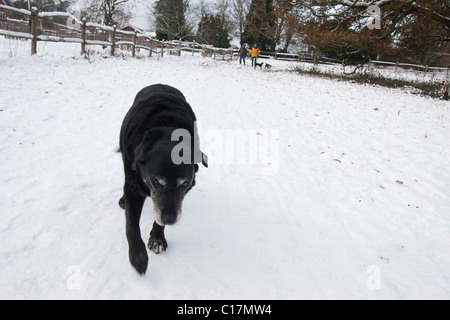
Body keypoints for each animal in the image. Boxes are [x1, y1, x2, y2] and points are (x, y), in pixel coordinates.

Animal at [117, 84, 207, 274]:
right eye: (156, 181)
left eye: (184, 183)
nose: (170, 220)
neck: (167, 129)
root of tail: (161, 84)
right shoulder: (133, 185)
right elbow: (131, 225)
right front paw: (138, 256)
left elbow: (159, 219)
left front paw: (157, 238)